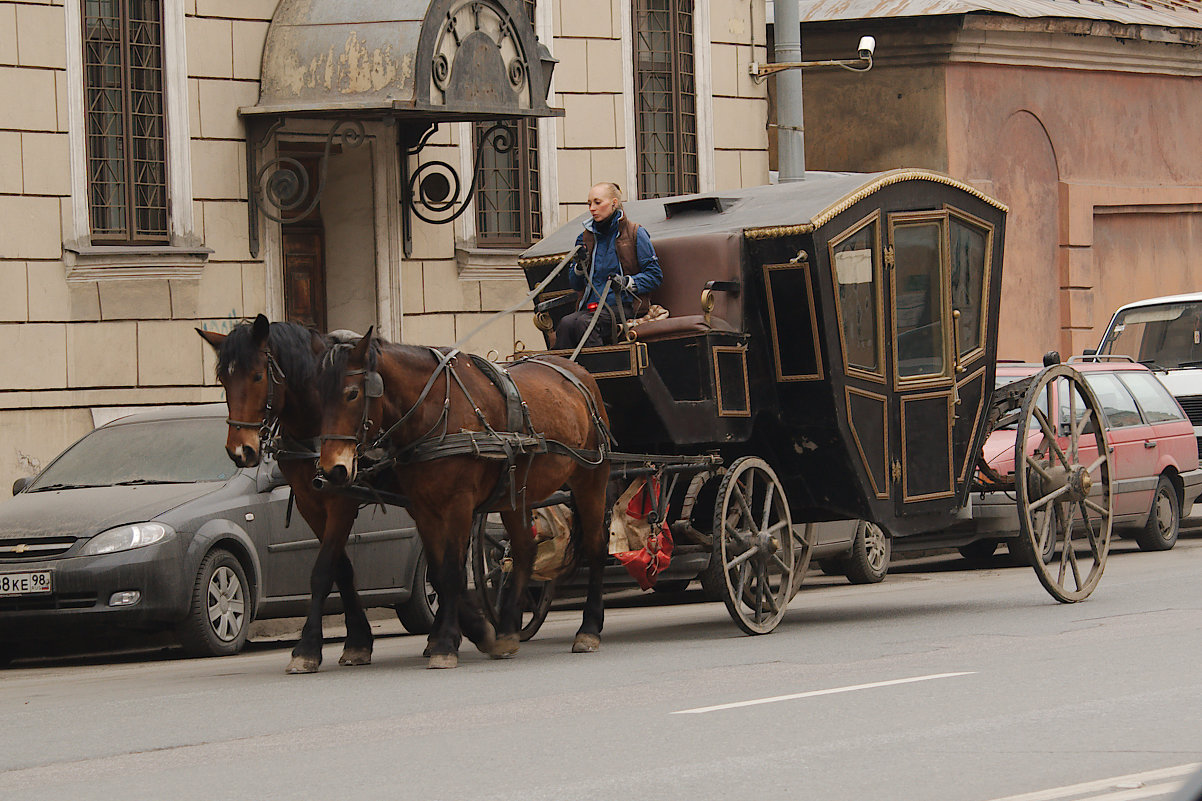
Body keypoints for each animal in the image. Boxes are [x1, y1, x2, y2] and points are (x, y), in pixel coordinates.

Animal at [198, 315, 375, 668]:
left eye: (257, 375)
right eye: (224, 379)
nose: (240, 451)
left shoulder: (342, 501)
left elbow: (322, 570)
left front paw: (307, 647)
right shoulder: (310, 504)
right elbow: (341, 568)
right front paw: (358, 641)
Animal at [314, 331, 610, 668]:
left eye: (351, 394)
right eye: (319, 396)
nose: (332, 469)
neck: (435, 412)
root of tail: (580, 373)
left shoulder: (460, 503)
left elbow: (453, 572)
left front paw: (444, 643)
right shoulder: (423, 508)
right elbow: (440, 572)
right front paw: (460, 635)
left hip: (591, 479)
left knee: (596, 547)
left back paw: (589, 628)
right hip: (515, 493)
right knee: (525, 549)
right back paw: (508, 630)